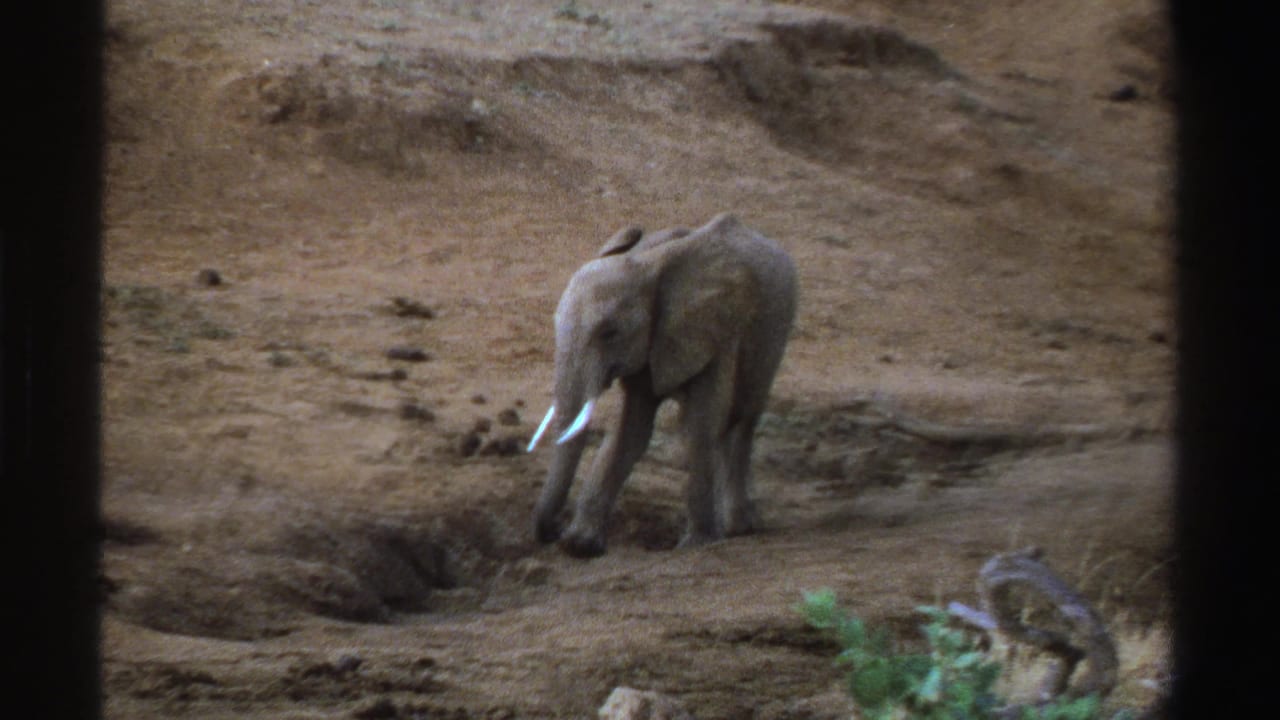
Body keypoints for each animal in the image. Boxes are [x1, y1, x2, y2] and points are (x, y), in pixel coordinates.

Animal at [526, 212, 798, 558]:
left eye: (610, 333)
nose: (553, 532)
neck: (648, 265)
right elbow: (632, 432)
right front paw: (580, 546)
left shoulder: (717, 334)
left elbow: (699, 426)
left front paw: (696, 544)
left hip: (774, 332)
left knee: (742, 417)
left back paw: (739, 528)